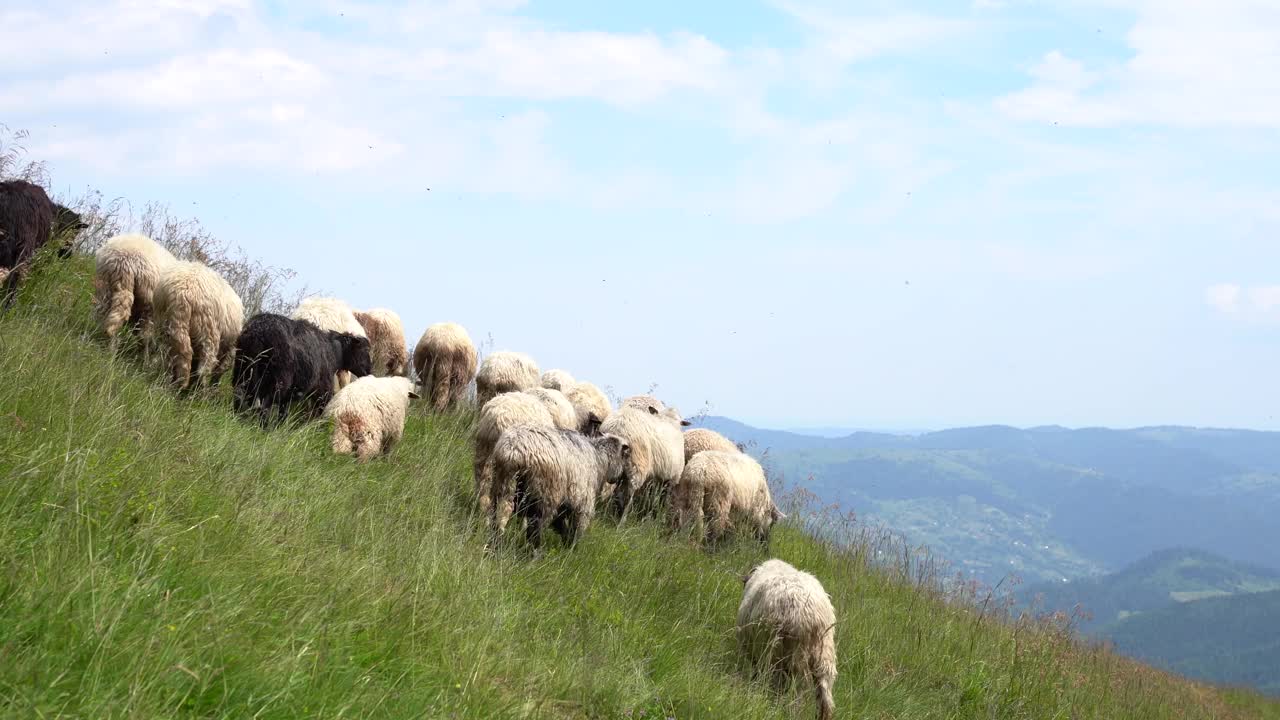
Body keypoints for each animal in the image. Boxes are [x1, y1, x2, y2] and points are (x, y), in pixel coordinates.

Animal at [232, 311, 373, 422]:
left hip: (243, 366)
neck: (334, 352)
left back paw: (237, 417)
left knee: (239, 393)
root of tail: (259, 331)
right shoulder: (323, 389)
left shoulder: (290, 393)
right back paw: (263, 428)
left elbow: (283, 413)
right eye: (365, 350)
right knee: (264, 406)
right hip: (279, 379)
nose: (369, 372)